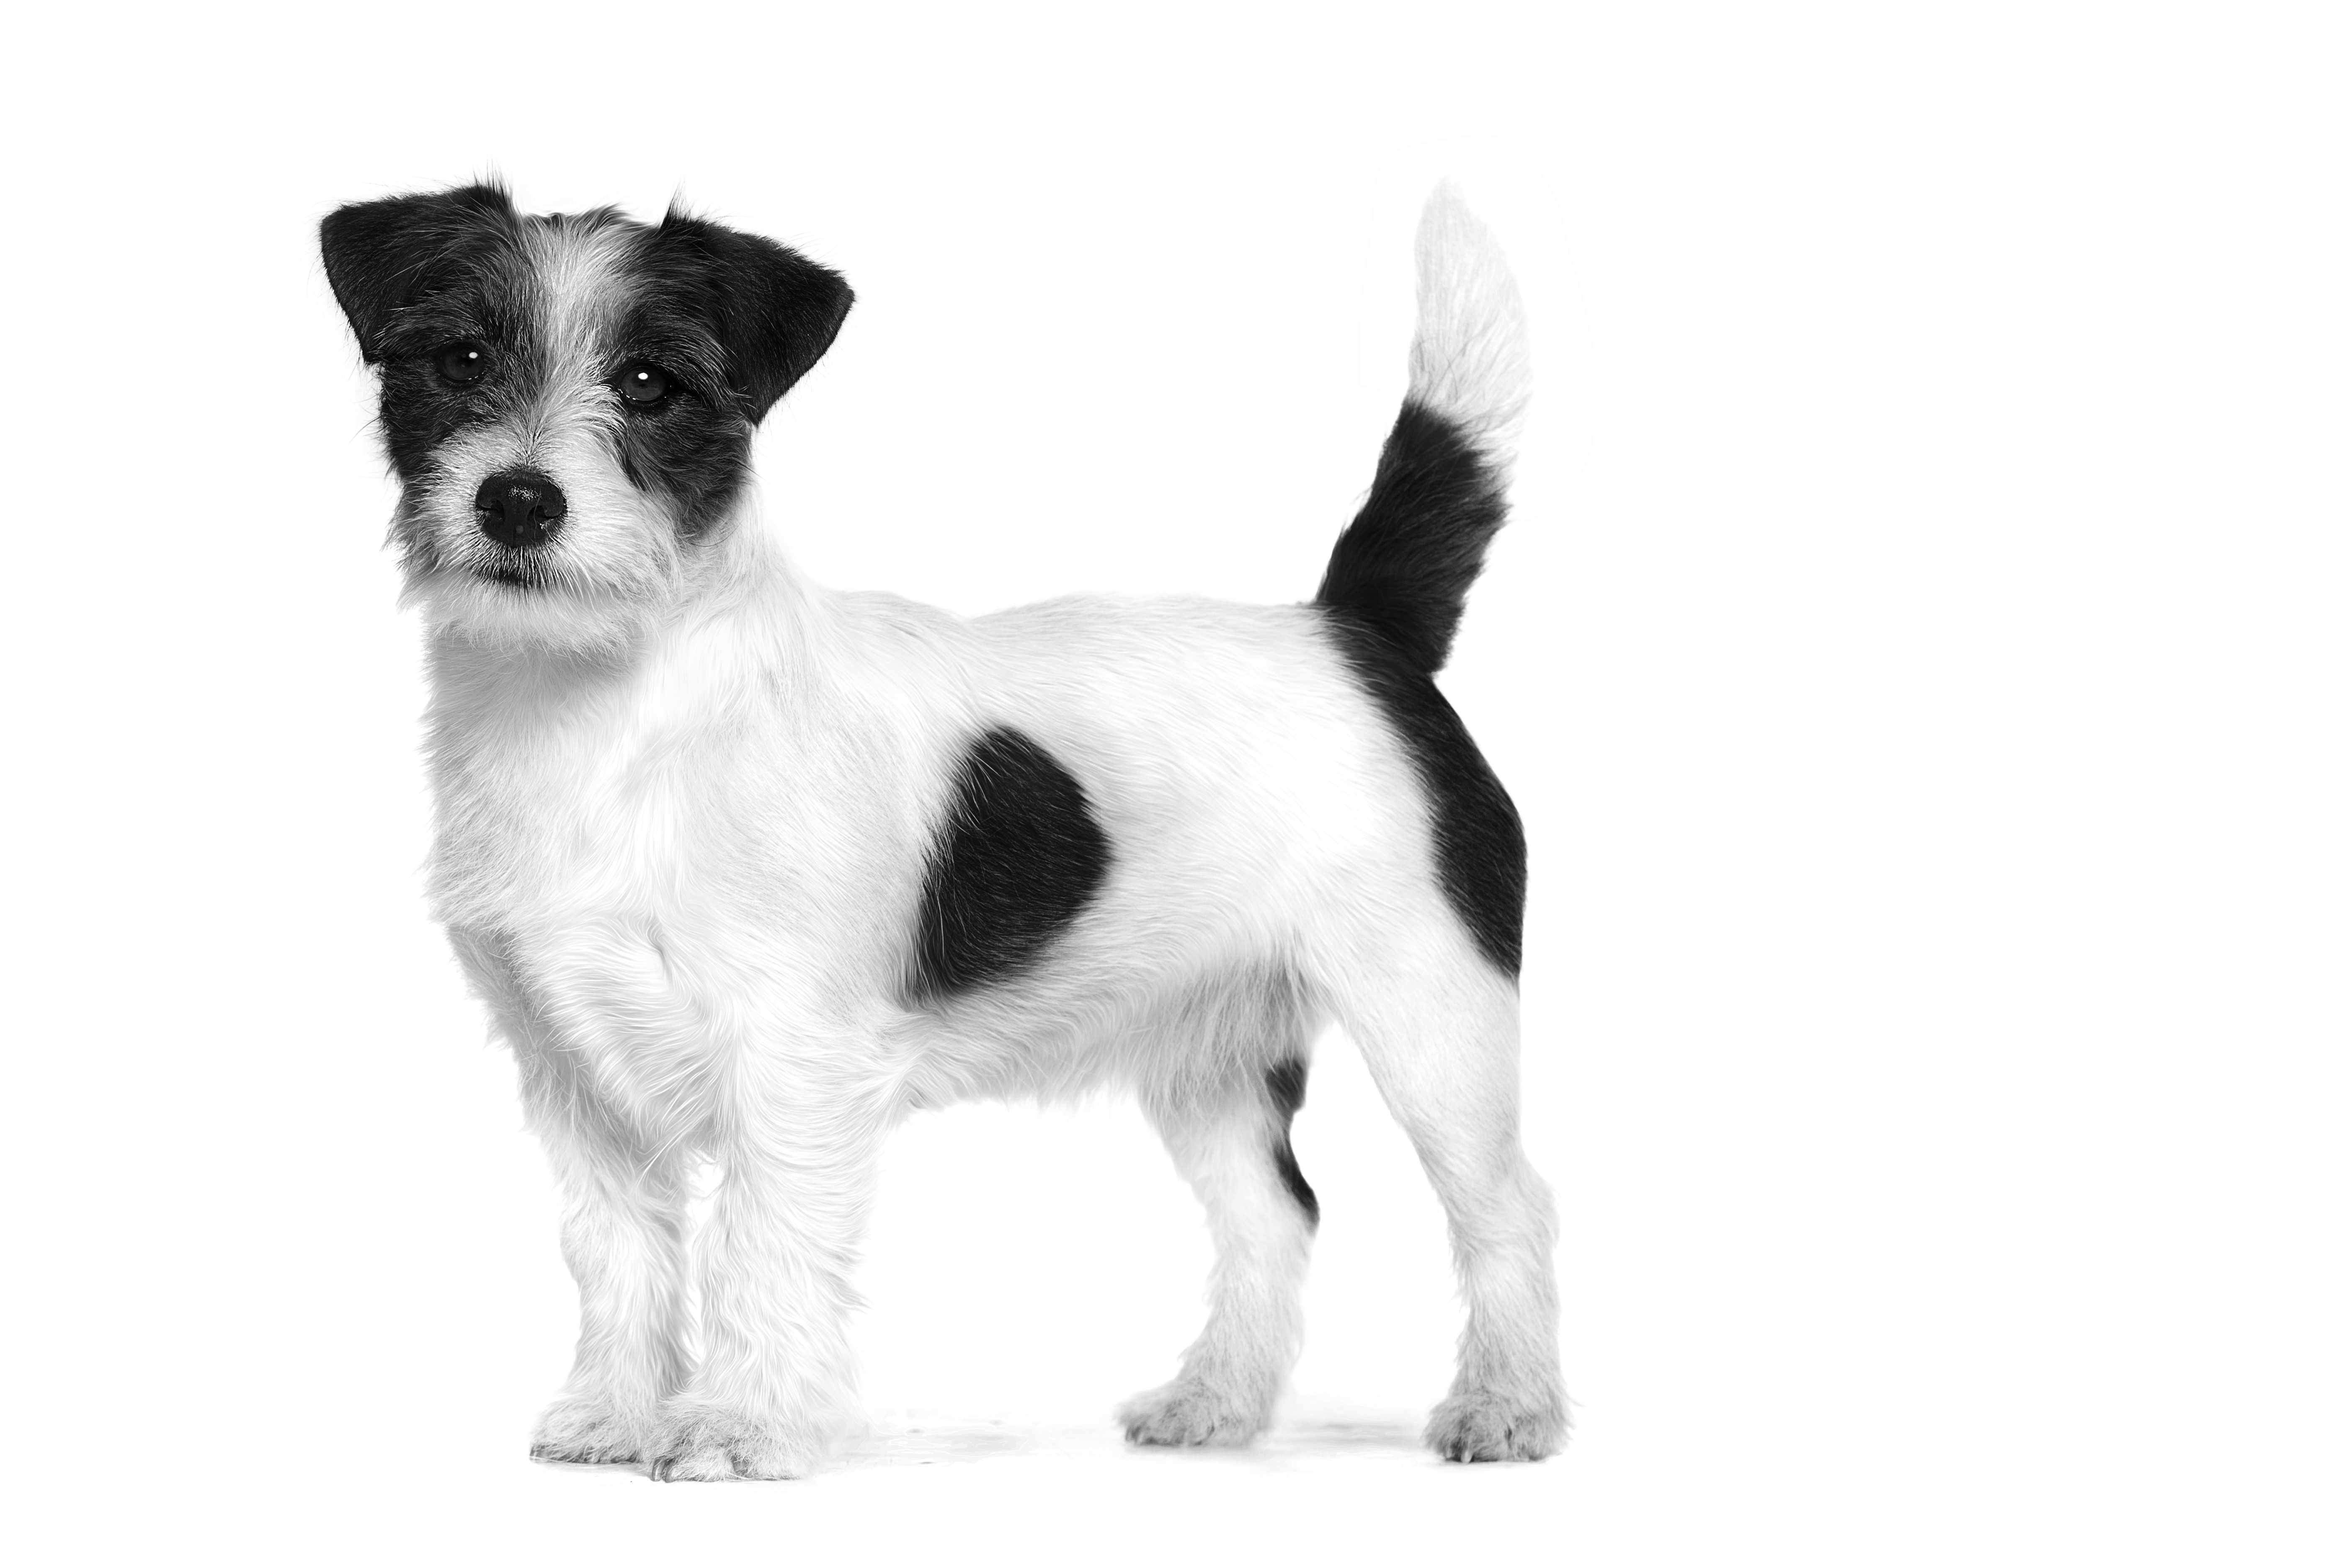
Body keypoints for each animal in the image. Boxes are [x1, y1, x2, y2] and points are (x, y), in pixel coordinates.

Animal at [312, 184, 1562, 1485]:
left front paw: (740, 1425)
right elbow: (618, 1248)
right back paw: (1216, 1398)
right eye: (460, 359)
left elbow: (758, 1243)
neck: (608, 703)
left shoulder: (790, 1063)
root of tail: (1356, 634)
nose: (517, 500)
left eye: (652, 381)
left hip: (1434, 1016)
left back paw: (1509, 1403)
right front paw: (616, 1409)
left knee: (1507, 1204)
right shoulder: (572, 1074)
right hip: (1206, 1046)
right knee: (1275, 1214)